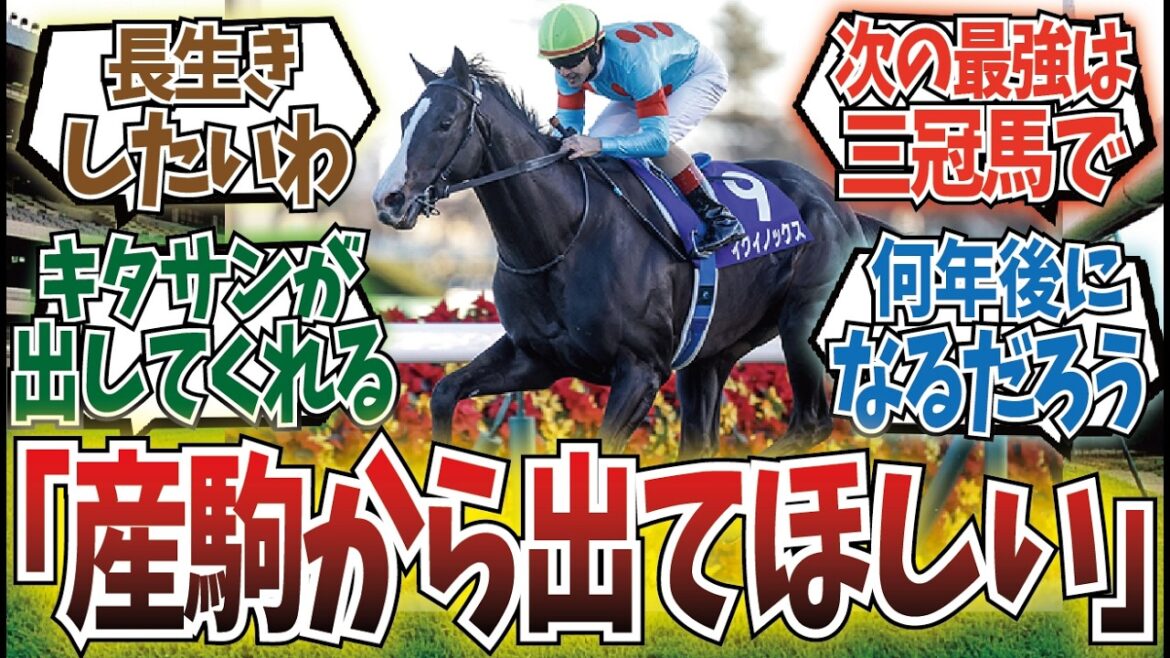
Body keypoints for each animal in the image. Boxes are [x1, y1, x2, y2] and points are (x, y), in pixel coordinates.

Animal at [373, 48, 883, 458]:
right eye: (402, 121)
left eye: (444, 123)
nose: (388, 199)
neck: (564, 239)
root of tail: (838, 204)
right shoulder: (535, 356)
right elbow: (445, 391)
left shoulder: (641, 371)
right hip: (711, 353)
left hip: (800, 322)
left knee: (810, 422)